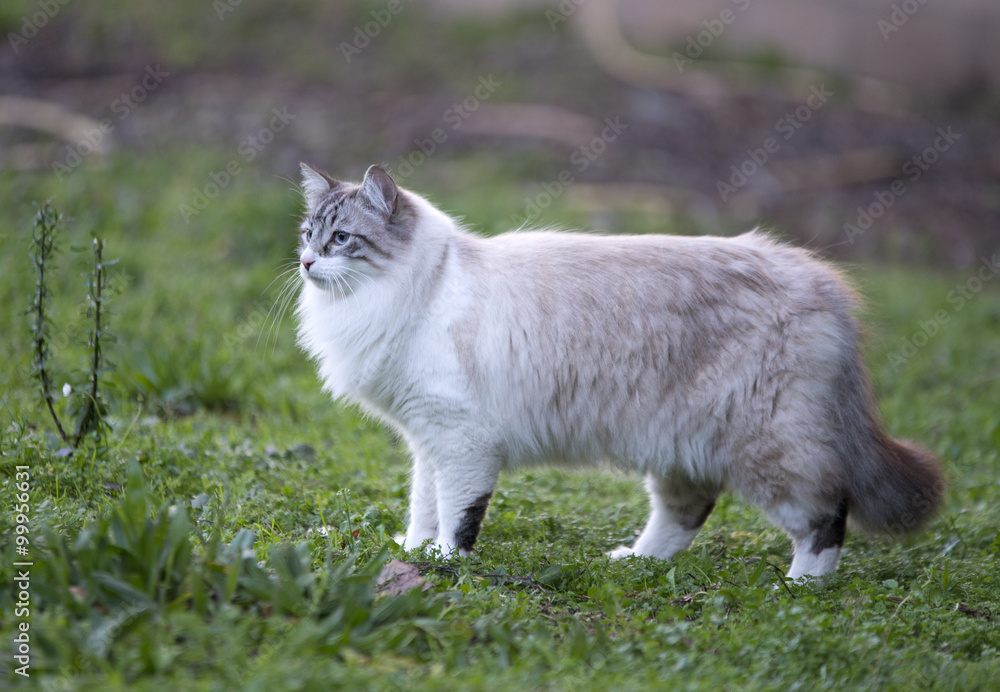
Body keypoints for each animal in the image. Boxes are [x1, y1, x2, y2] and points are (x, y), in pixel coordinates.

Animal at [292, 162, 944, 580]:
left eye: (341, 239)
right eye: (307, 234)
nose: (305, 263)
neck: (417, 290)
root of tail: (822, 282)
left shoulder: (459, 441)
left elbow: (456, 518)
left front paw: (445, 564)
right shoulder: (427, 440)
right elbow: (422, 510)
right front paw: (416, 552)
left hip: (767, 452)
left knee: (825, 515)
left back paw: (802, 586)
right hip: (680, 445)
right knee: (687, 512)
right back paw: (637, 562)